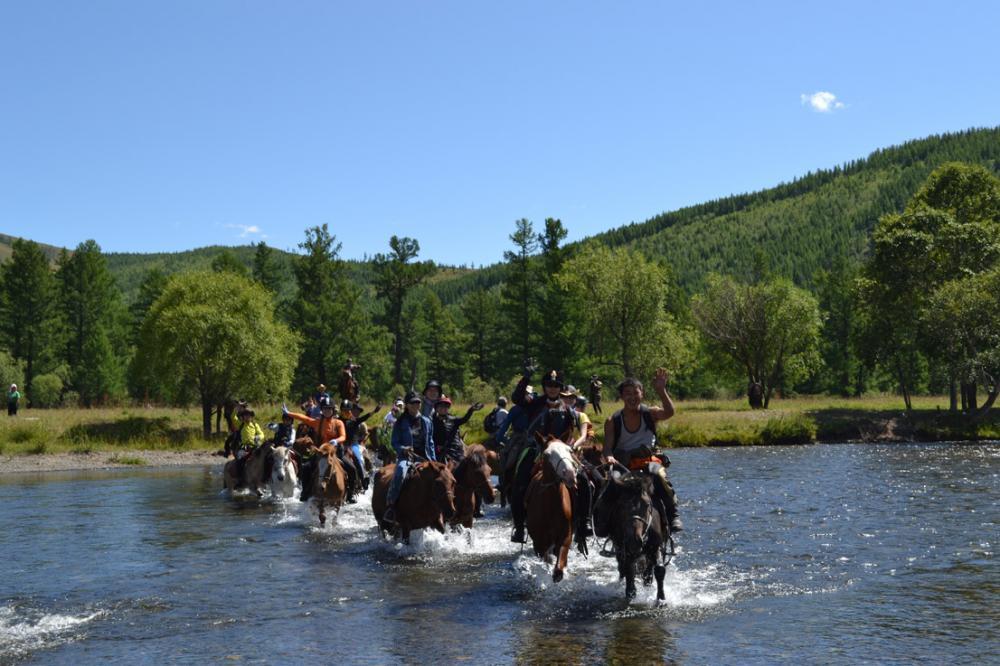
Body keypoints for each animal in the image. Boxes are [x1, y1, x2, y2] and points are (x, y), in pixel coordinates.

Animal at [524, 434, 580, 580]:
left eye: (569, 450)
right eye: (547, 454)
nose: (570, 474)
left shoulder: (566, 536)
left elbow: (561, 557)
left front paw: (558, 572)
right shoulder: (539, 542)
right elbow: (546, 558)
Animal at [596, 466, 668, 600]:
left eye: (647, 504)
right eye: (621, 506)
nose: (634, 540)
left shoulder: (655, 546)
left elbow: (659, 570)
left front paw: (661, 598)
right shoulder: (626, 549)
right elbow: (629, 569)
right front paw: (630, 592)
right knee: (622, 567)